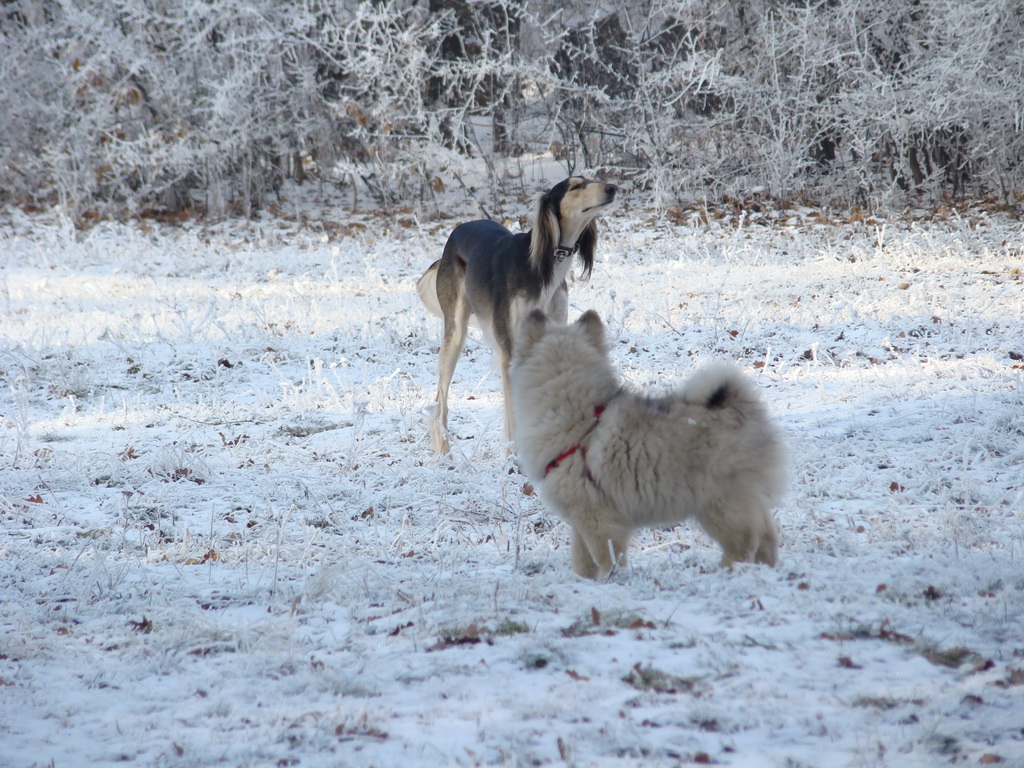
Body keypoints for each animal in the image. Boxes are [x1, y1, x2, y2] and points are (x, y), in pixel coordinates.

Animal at [512, 309, 790, 581]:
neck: (582, 418)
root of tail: (738, 407)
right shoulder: (581, 515)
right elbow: (582, 560)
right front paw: (585, 582)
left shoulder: (598, 517)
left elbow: (606, 556)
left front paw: (607, 581)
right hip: (744, 499)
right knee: (766, 537)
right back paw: (765, 572)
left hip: (719, 504)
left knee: (744, 542)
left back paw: (724, 573)